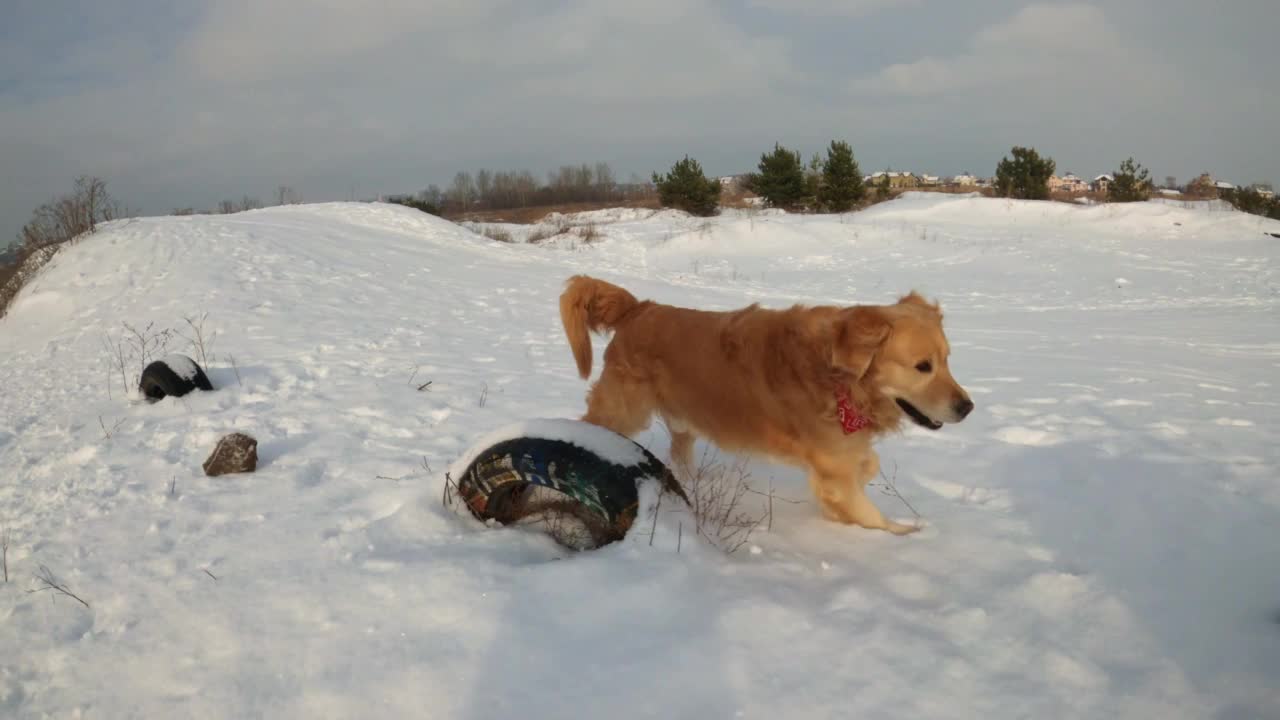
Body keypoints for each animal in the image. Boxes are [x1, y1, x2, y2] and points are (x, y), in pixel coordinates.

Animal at [558, 274, 967, 532]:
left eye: (948, 360)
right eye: (923, 367)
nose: (968, 408)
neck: (839, 379)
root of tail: (638, 307)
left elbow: (868, 465)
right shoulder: (835, 471)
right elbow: (870, 516)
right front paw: (905, 538)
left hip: (683, 418)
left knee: (680, 452)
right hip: (623, 409)